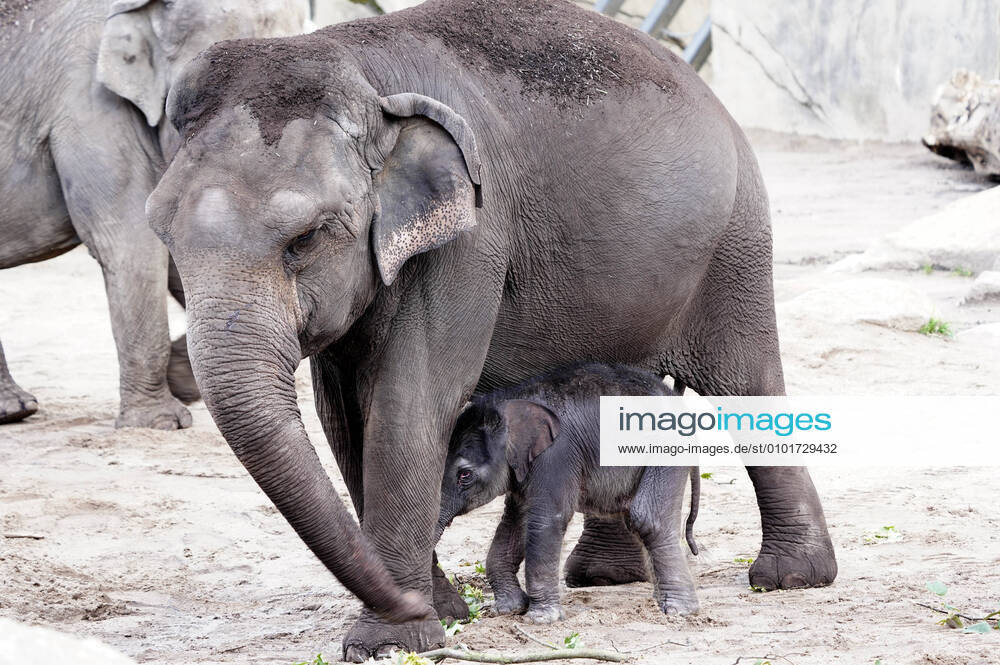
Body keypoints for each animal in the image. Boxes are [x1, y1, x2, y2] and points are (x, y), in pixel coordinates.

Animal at [435, 362, 702, 624]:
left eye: (464, 475)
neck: (509, 404)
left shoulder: (556, 456)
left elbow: (546, 520)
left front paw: (541, 619)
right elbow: (515, 522)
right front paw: (509, 609)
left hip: (666, 451)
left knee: (646, 517)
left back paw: (680, 611)